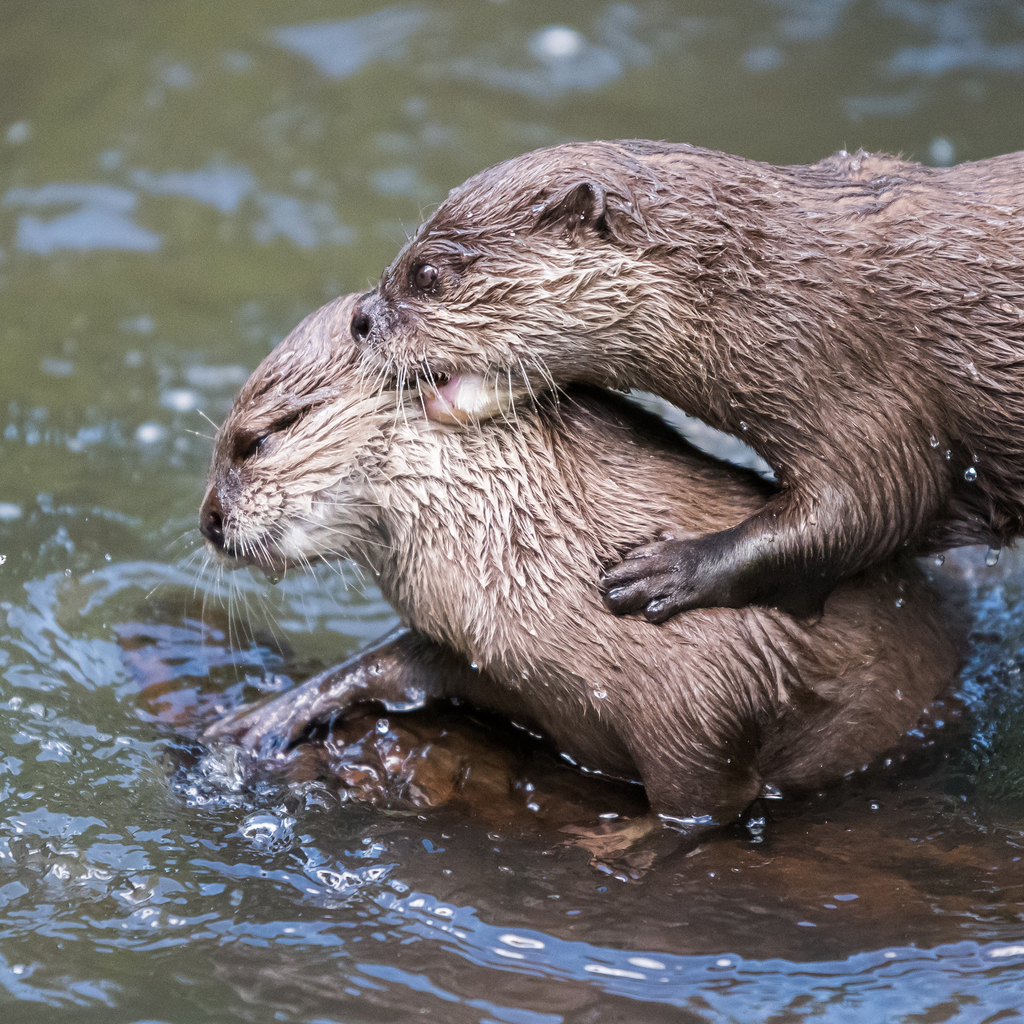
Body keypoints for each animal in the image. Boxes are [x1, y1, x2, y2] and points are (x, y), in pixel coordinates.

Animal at [199, 292, 958, 827]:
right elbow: (394, 661)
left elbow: (704, 807)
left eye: (259, 439)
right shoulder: (487, 650)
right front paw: (266, 715)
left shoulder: (704, 699)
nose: (207, 519)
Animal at [346, 140, 1024, 618]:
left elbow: (875, 503)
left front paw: (672, 570)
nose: (359, 318)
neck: (783, 290)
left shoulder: (863, 379)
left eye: (427, 274)